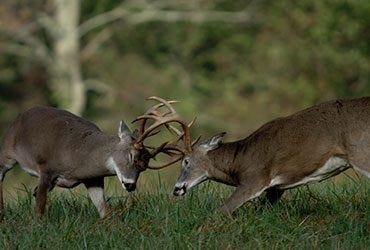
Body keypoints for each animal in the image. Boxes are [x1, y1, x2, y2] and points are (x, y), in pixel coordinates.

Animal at [0, 96, 179, 218]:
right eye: (131, 155)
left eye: (144, 167)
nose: (130, 185)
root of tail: (19, 117)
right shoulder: (46, 169)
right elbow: (39, 210)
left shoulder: (93, 179)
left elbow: (103, 210)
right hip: (7, 152)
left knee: (34, 191)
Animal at [171, 96, 370, 214]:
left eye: (186, 161)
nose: (176, 189)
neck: (239, 160)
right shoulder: (276, 189)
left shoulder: (255, 179)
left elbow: (220, 211)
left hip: (361, 153)